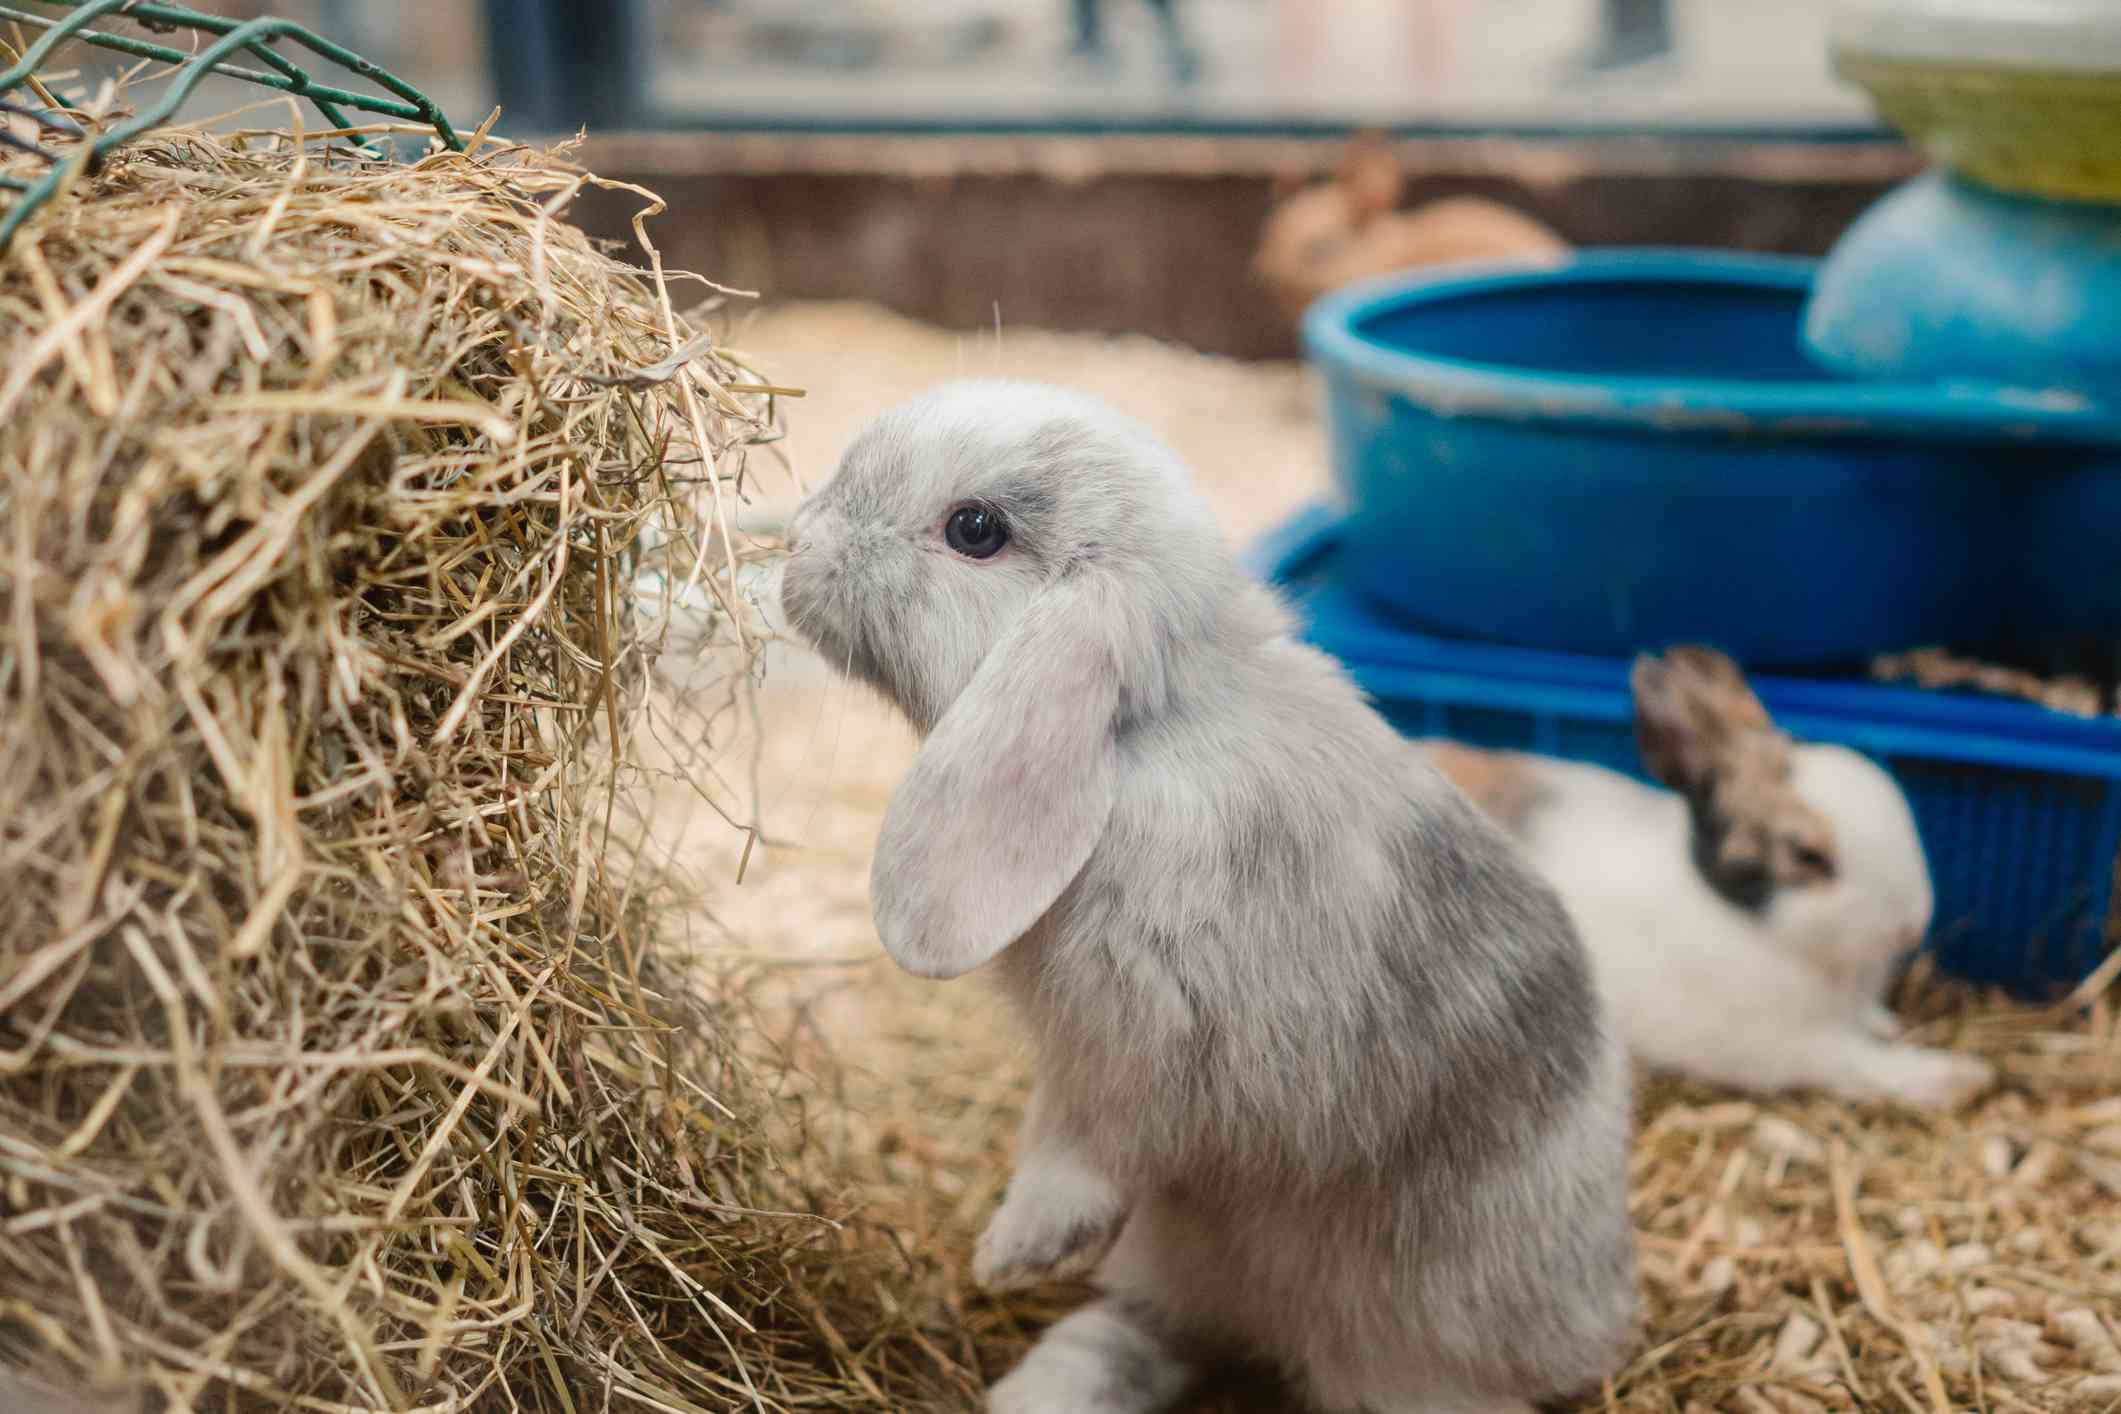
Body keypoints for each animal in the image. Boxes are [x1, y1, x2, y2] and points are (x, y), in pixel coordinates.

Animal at [780, 381, 1637, 1414]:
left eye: (973, 529)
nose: (796, 539)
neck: (1147, 737)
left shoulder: (1145, 1046)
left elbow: (1082, 1149)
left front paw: (1011, 1253)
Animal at [1433, 644, 1993, 1119]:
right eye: (1806, 854)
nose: (1913, 923)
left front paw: (1890, 1024)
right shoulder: (1798, 1043)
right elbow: (1863, 1063)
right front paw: (1962, 1078)